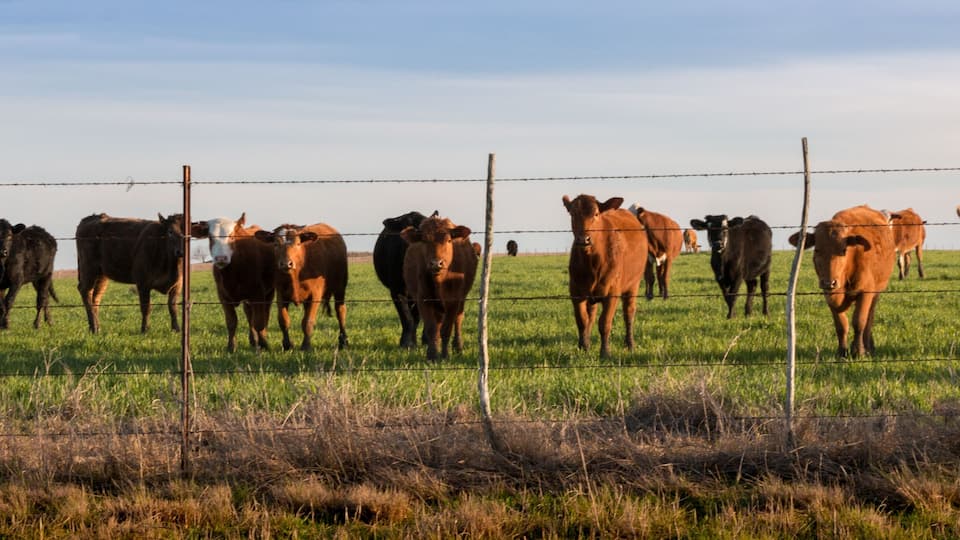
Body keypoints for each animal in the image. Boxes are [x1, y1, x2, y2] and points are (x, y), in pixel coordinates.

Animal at [191, 213, 275, 352]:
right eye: (210, 237)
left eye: (231, 236)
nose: (221, 258)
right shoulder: (223, 296)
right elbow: (231, 322)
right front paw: (231, 346)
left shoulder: (258, 294)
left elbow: (259, 322)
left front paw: (264, 344)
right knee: (249, 314)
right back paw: (253, 340)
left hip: (269, 293)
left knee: (265, 315)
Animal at [254, 223, 348, 351]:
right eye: (275, 244)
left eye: (298, 243)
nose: (286, 264)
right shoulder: (281, 294)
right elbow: (283, 320)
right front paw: (287, 344)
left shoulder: (315, 295)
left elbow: (308, 321)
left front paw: (306, 346)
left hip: (340, 287)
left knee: (340, 311)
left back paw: (343, 341)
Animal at [400, 214, 478, 361]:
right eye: (424, 241)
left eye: (448, 240)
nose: (436, 263)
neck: (440, 282)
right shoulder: (423, 300)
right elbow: (432, 329)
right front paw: (432, 355)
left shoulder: (454, 301)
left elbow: (447, 329)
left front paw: (445, 355)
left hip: (461, 300)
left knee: (458, 320)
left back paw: (458, 346)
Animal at [562, 194, 648, 358]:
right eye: (573, 214)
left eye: (596, 214)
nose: (583, 239)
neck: (592, 262)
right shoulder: (575, 291)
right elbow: (582, 320)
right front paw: (583, 347)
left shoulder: (612, 293)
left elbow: (604, 323)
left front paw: (605, 352)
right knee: (591, 315)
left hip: (633, 285)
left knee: (629, 312)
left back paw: (630, 344)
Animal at [788, 205, 897, 357]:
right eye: (817, 250)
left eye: (843, 250)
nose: (829, 283)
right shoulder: (829, 295)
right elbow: (841, 325)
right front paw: (842, 351)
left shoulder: (866, 292)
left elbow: (859, 322)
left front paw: (858, 351)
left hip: (877, 291)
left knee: (869, 318)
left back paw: (869, 346)